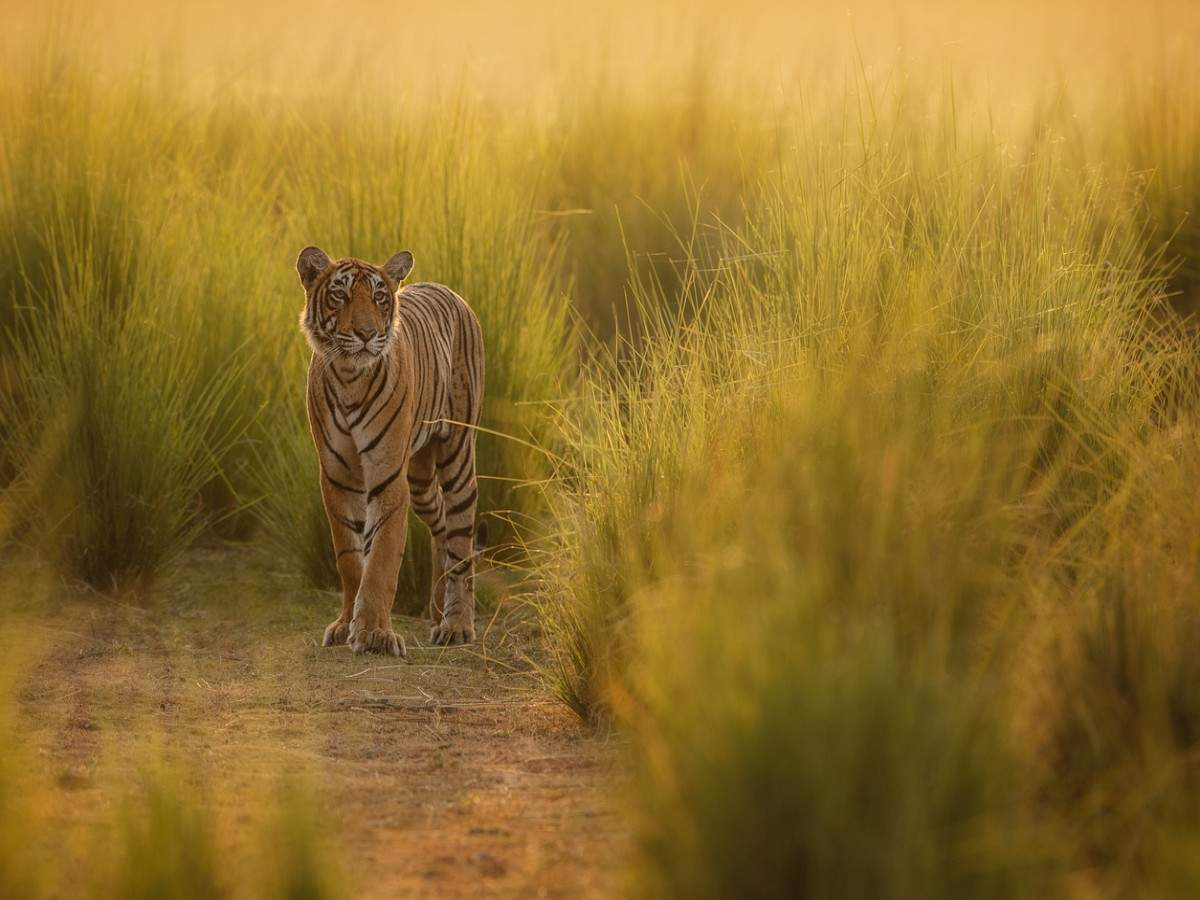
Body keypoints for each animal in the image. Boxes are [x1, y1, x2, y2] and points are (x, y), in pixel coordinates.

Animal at [294, 247, 482, 657]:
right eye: (341, 295)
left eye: (379, 297)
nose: (365, 335)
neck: (350, 377)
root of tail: (447, 289)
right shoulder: (337, 478)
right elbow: (351, 560)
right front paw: (346, 625)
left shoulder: (387, 476)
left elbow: (381, 560)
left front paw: (375, 633)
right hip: (421, 476)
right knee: (441, 525)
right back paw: (437, 607)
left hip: (457, 454)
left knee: (461, 540)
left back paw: (456, 624)